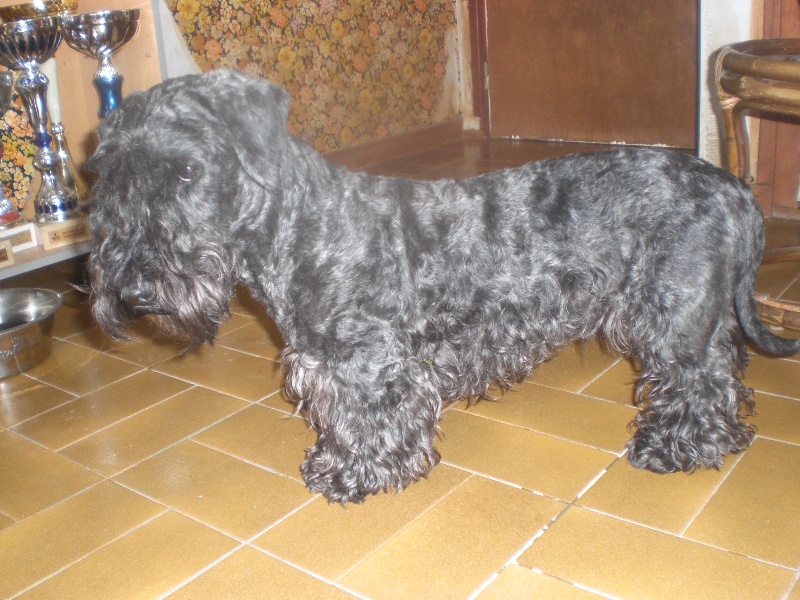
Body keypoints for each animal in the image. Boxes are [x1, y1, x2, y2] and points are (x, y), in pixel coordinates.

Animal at [86, 70, 800, 504]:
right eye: (113, 177)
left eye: (186, 171)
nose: (136, 290)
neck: (299, 225)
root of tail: (733, 189)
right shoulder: (329, 360)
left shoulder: (366, 363)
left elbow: (367, 420)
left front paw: (354, 475)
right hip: (699, 316)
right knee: (723, 373)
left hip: (674, 319)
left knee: (698, 385)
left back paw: (673, 448)